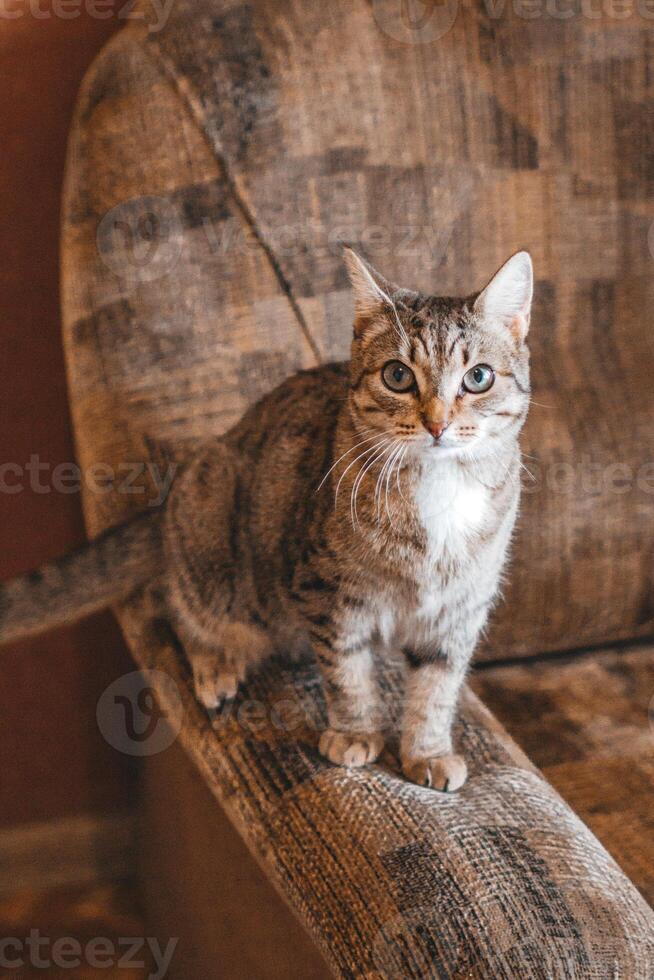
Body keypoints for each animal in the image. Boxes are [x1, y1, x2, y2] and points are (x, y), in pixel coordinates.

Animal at [0, 251, 532, 788]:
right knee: (168, 601)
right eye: (398, 376)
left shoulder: (460, 609)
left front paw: (427, 751)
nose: (437, 423)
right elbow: (347, 673)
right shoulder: (328, 591)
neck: (439, 488)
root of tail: (169, 504)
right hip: (213, 538)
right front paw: (355, 733)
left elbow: (436, 687)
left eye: (479, 378)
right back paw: (213, 661)